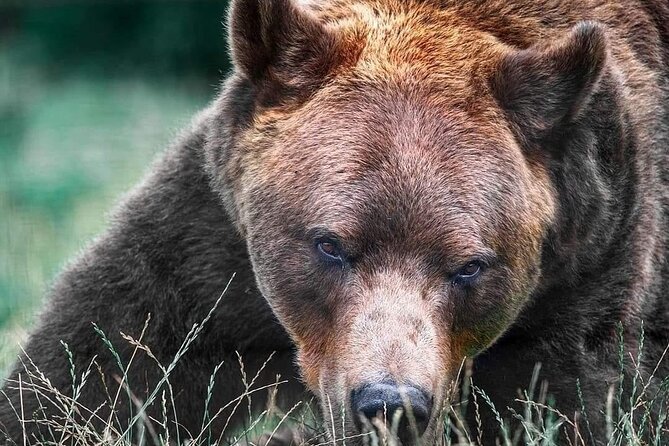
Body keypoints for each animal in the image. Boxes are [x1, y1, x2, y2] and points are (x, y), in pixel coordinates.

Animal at [2, 0, 669, 445]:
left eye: (470, 266)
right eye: (330, 245)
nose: (389, 403)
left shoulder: (589, 267)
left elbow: (563, 408)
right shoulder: (212, 247)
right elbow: (104, 362)